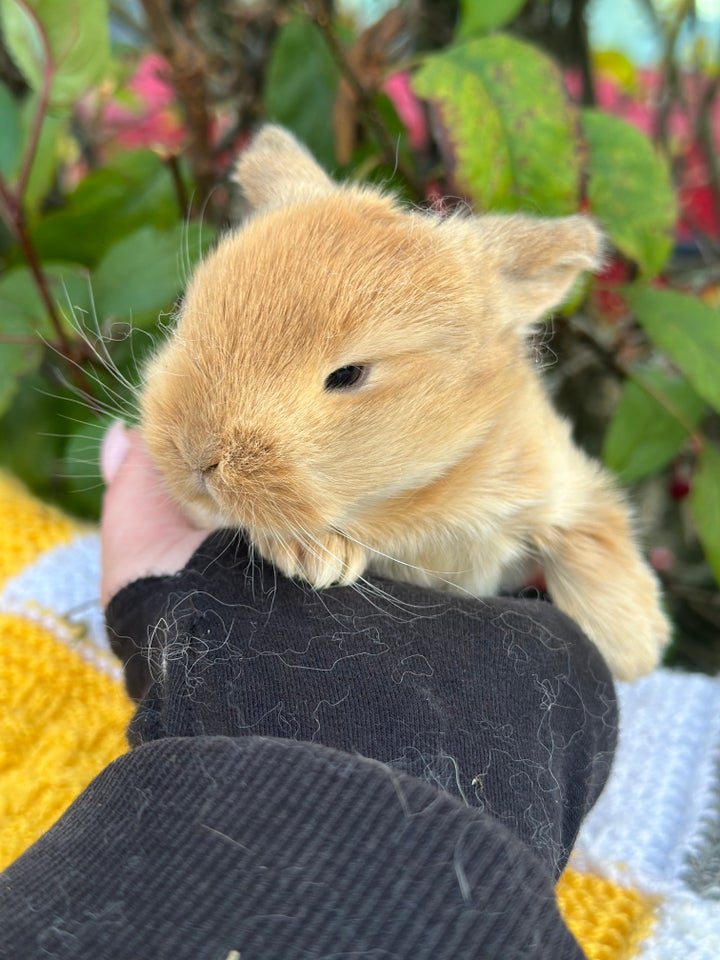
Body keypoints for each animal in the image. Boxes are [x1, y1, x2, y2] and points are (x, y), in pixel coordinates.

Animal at [141, 124, 668, 684]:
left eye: (347, 375)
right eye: (189, 312)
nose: (196, 456)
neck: (418, 494)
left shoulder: (560, 481)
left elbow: (591, 535)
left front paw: (632, 643)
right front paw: (316, 557)